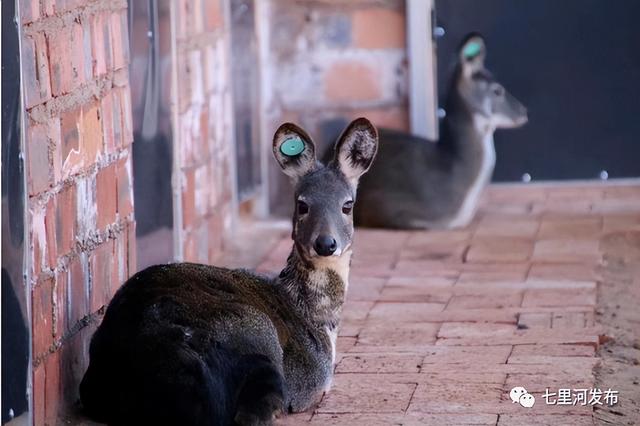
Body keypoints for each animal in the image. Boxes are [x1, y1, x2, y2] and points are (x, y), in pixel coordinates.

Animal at [80, 118, 380, 424]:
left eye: (347, 205)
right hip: (256, 335)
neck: (317, 320)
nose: (326, 243)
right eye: (302, 204)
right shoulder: (307, 384)